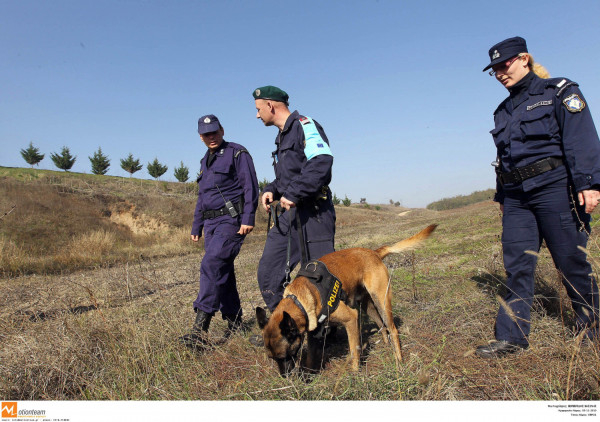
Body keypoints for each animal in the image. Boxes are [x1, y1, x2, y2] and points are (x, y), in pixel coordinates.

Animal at [254, 224, 436, 376]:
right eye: (272, 358)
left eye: (285, 355)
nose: (285, 376)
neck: (300, 299)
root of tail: (374, 252)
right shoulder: (313, 333)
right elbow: (311, 357)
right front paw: (309, 376)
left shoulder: (351, 318)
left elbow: (354, 349)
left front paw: (355, 373)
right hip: (368, 305)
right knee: (381, 325)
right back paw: (385, 343)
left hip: (381, 301)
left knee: (393, 329)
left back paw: (398, 361)